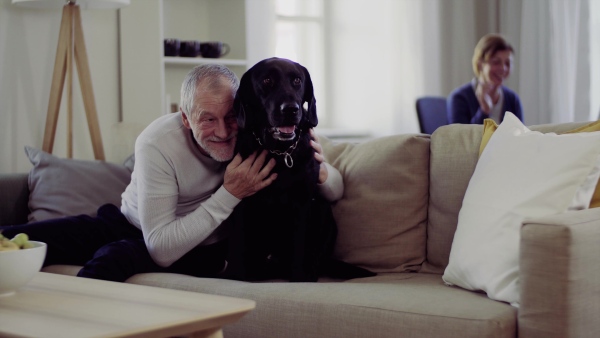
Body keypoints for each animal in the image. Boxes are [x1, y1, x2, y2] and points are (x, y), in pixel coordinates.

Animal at [224, 56, 376, 282]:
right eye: (267, 80)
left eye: (297, 80)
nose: (291, 109)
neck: (279, 153)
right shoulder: (242, 200)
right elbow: (239, 244)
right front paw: (237, 277)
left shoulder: (302, 200)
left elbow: (299, 245)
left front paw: (299, 278)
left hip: (323, 209)